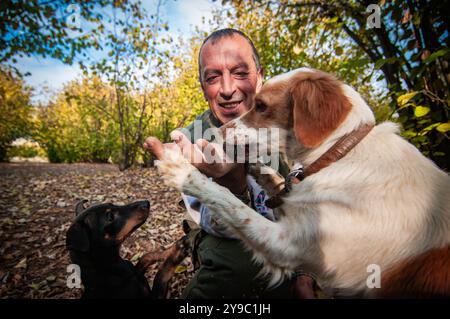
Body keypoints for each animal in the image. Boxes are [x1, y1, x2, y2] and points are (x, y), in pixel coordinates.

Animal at [156, 68, 450, 300]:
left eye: (261, 105)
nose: (216, 132)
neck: (338, 153)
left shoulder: (286, 245)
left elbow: (228, 202)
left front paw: (181, 169)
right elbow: (273, 181)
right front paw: (253, 167)